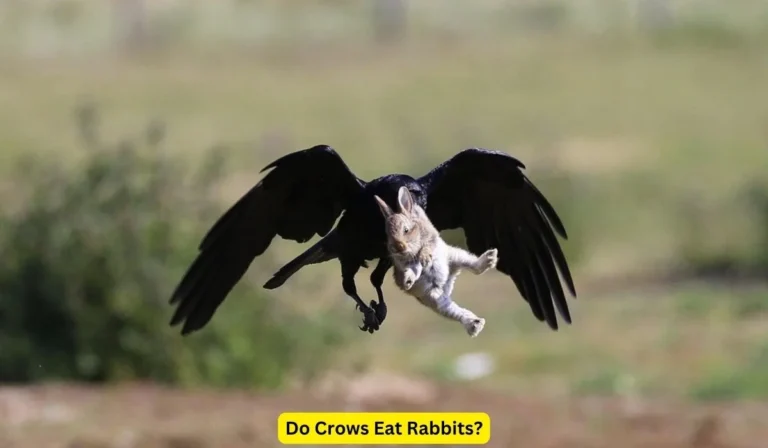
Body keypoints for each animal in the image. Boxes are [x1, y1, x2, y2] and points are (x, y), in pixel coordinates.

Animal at [374, 186, 499, 337]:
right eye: (388, 235)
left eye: (406, 230)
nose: (398, 247)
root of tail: (447, 283)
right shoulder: (405, 264)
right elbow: (412, 269)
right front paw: (407, 281)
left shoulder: (431, 239)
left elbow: (427, 248)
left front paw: (424, 257)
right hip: (434, 298)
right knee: (455, 312)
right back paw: (474, 325)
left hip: (456, 256)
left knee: (475, 268)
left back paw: (490, 257)